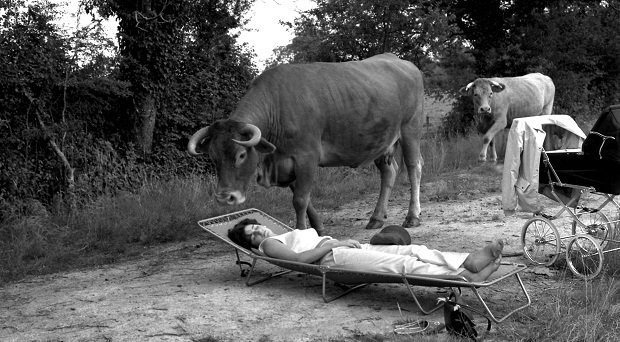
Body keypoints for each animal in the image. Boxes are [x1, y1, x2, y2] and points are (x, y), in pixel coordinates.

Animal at [186, 54, 424, 235]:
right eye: (213, 157)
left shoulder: (306, 157)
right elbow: (304, 199)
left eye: (241, 155)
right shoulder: (287, 161)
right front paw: (318, 228)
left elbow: (300, 200)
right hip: (381, 142)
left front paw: (301, 232)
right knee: (389, 172)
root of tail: (401, 61)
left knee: (414, 168)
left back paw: (412, 216)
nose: (225, 197)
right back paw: (377, 218)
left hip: (410, 129)